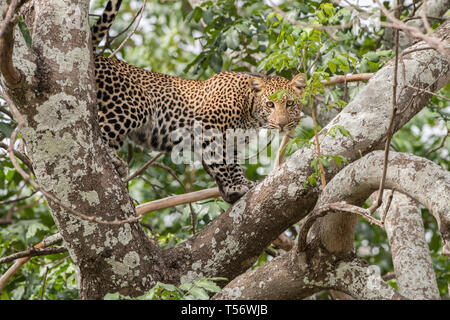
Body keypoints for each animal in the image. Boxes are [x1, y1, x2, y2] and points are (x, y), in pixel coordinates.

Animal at [90, 0, 306, 202]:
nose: (282, 124)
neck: (249, 108)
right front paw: (233, 187)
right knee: (100, 132)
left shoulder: (234, 141)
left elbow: (233, 163)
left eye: (289, 104)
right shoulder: (210, 126)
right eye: (270, 104)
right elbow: (220, 160)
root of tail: (98, 57)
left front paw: (238, 185)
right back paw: (114, 160)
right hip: (132, 105)